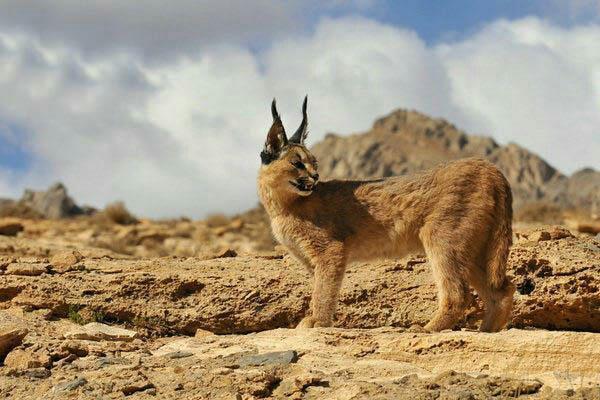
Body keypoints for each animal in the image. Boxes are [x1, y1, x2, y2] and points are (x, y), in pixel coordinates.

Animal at [255, 97, 512, 332]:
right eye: (297, 163)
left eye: (314, 163)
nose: (316, 176)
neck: (282, 206)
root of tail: (490, 168)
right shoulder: (312, 259)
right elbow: (323, 287)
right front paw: (320, 319)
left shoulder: (330, 250)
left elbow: (323, 290)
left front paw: (317, 321)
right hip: (473, 247)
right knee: (502, 289)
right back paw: (487, 330)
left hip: (442, 237)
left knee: (459, 293)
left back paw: (428, 328)